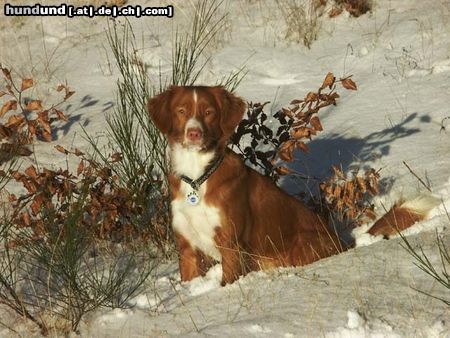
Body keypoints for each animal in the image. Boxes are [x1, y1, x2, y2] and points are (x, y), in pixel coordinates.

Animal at [149, 86, 436, 286]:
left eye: (208, 112)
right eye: (182, 111)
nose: (194, 133)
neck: (198, 177)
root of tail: (343, 245)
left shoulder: (231, 245)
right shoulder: (187, 250)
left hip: (298, 244)